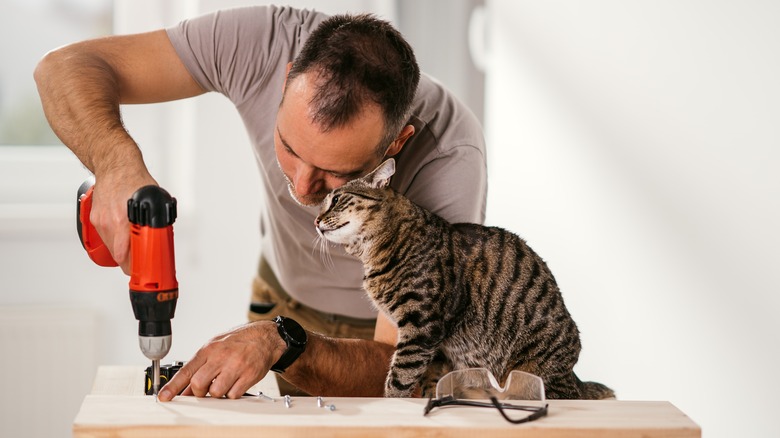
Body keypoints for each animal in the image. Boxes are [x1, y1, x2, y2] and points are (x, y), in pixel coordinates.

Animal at [314, 158, 612, 400]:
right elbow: (427, 376)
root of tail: (573, 373)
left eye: (336, 200)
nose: (316, 220)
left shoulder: (421, 325)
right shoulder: (433, 344)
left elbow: (401, 374)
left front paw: (390, 401)